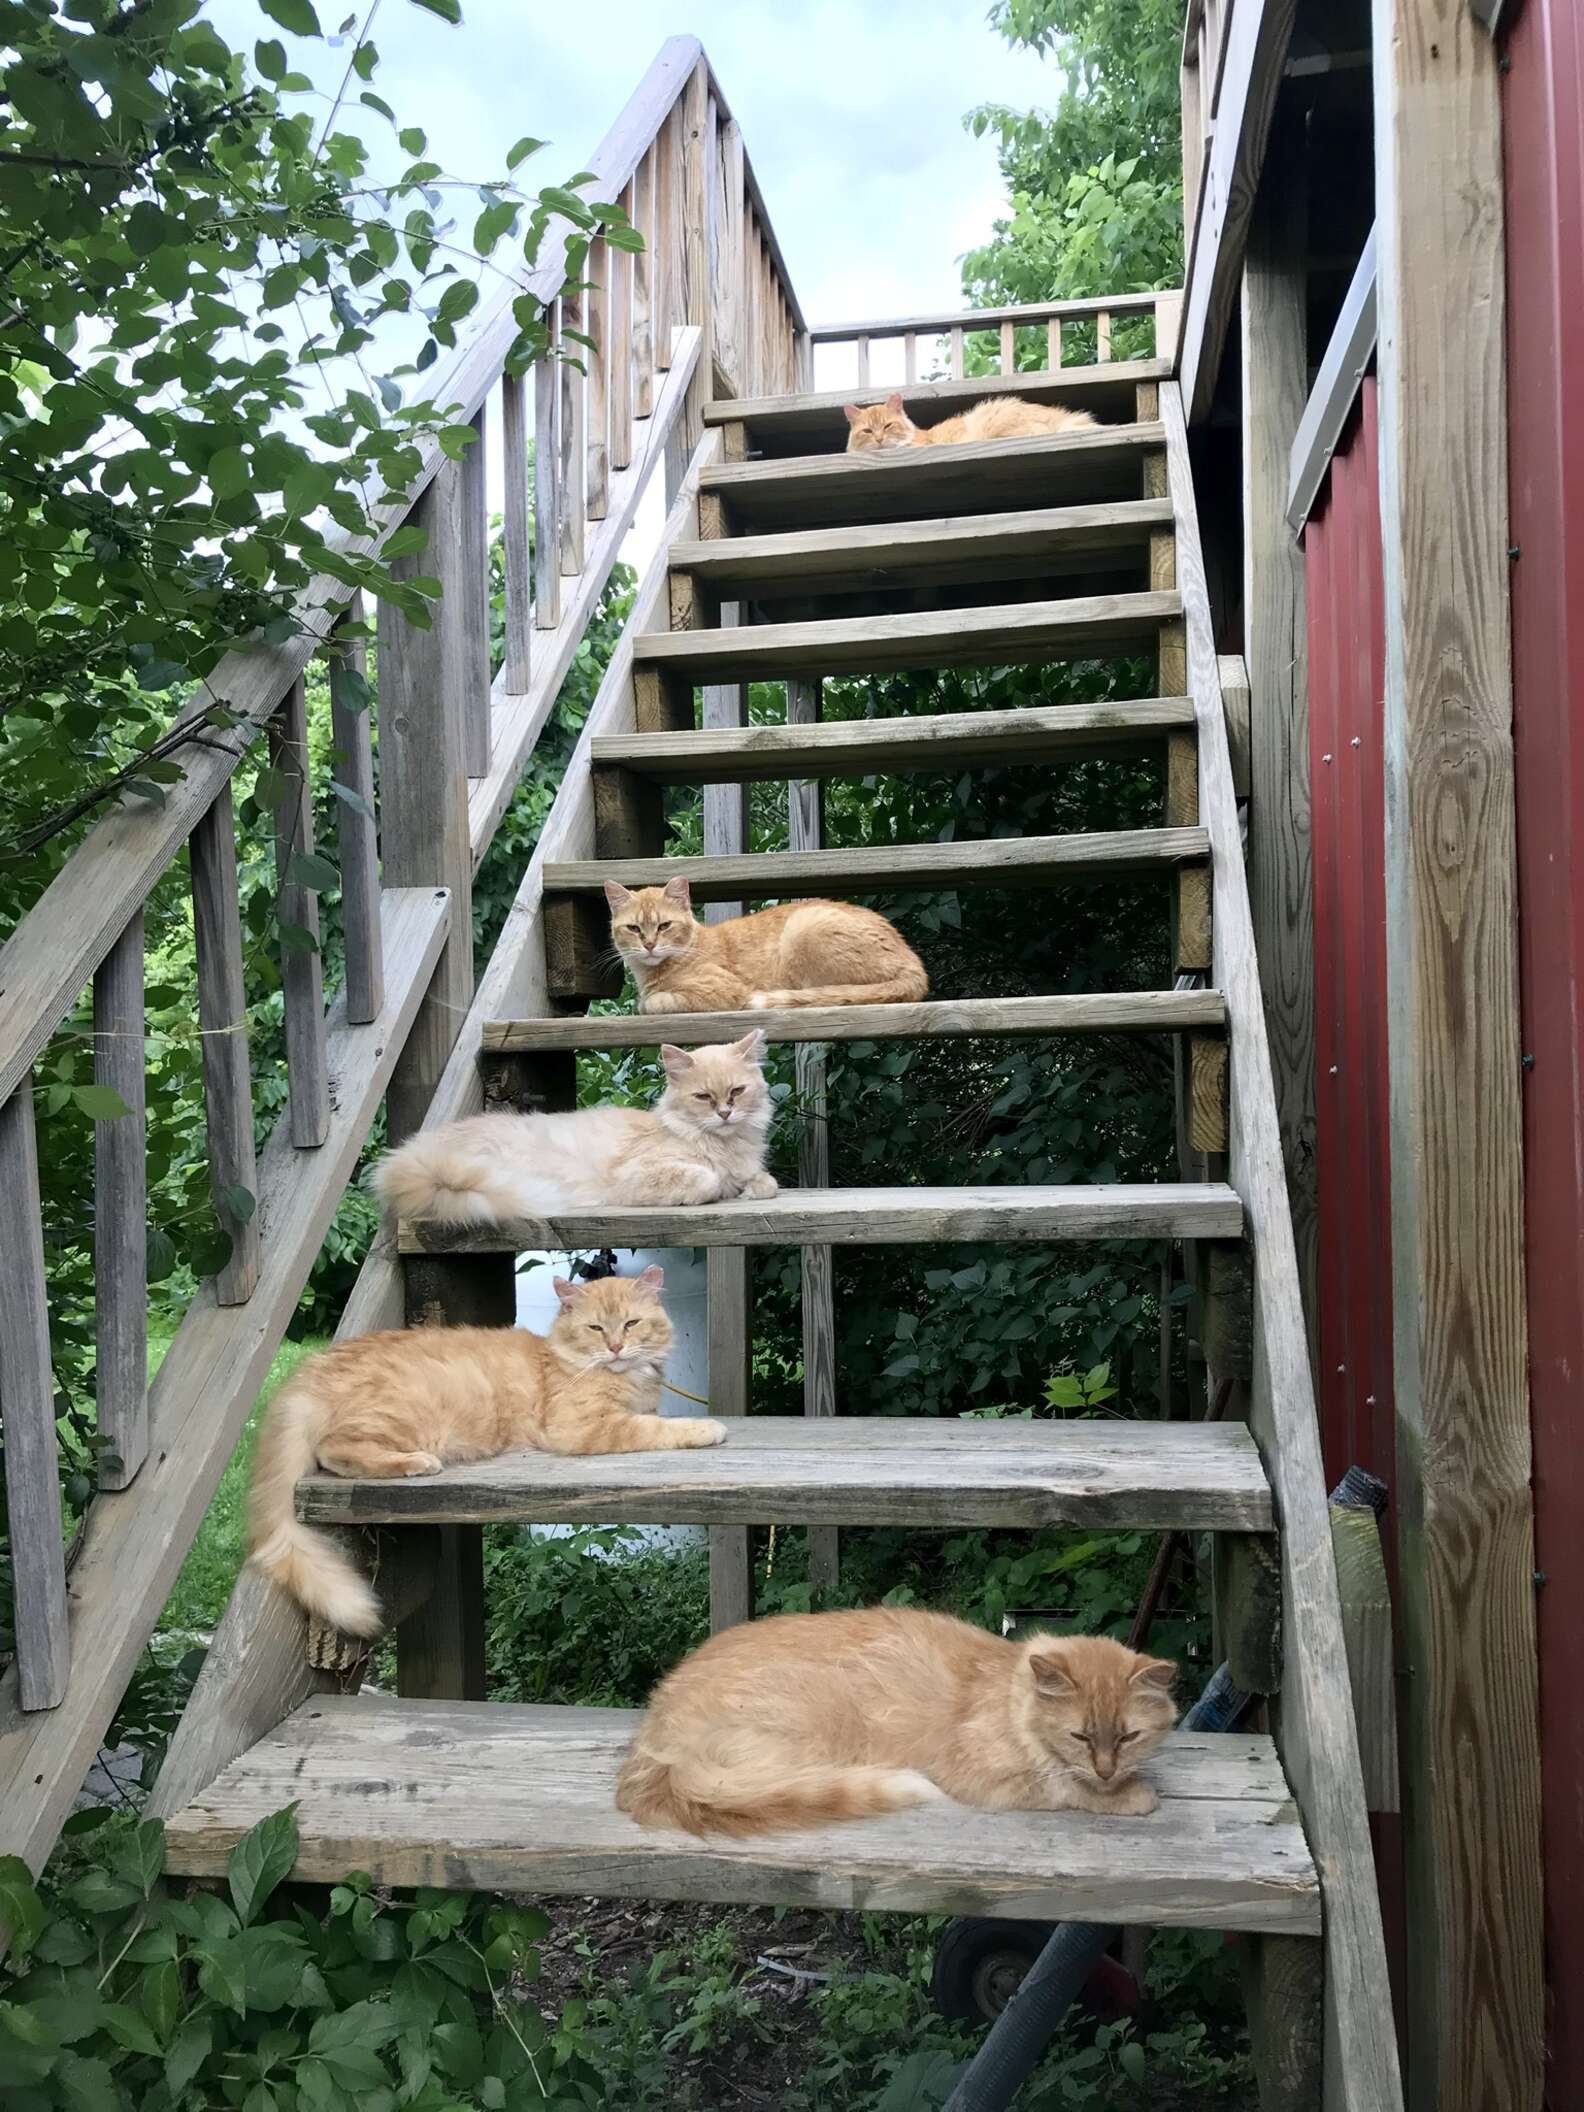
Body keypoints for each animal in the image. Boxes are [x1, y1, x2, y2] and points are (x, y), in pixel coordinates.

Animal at [248, 1267, 726, 1630]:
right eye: (595, 1328)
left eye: (631, 1324)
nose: (615, 1347)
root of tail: (312, 1369)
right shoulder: (583, 1427)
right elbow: (656, 1427)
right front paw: (707, 1428)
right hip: (401, 1417)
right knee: (334, 1450)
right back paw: (418, 1463)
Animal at [380, 1034, 789, 1233]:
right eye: (703, 1097)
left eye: (737, 1091)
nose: (725, 1113)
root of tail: (414, 1154)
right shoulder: (637, 1177)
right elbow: (708, 1178)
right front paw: (721, 1189)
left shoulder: (756, 1172)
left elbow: (767, 1183)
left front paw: (748, 1189)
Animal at [608, 865, 929, 1013]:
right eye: (634, 929)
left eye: (664, 925)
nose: (649, 945)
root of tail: (914, 964)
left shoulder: (723, 992)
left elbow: (652, 1003)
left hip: (804, 926)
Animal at [616, 1605, 1182, 1841]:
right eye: (1080, 1736)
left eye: (1129, 1736)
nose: (1108, 1769)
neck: (1006, 1692)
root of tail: (654, 1738)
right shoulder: (983, 1777)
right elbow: (1066, 1787)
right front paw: (1132, 1795)